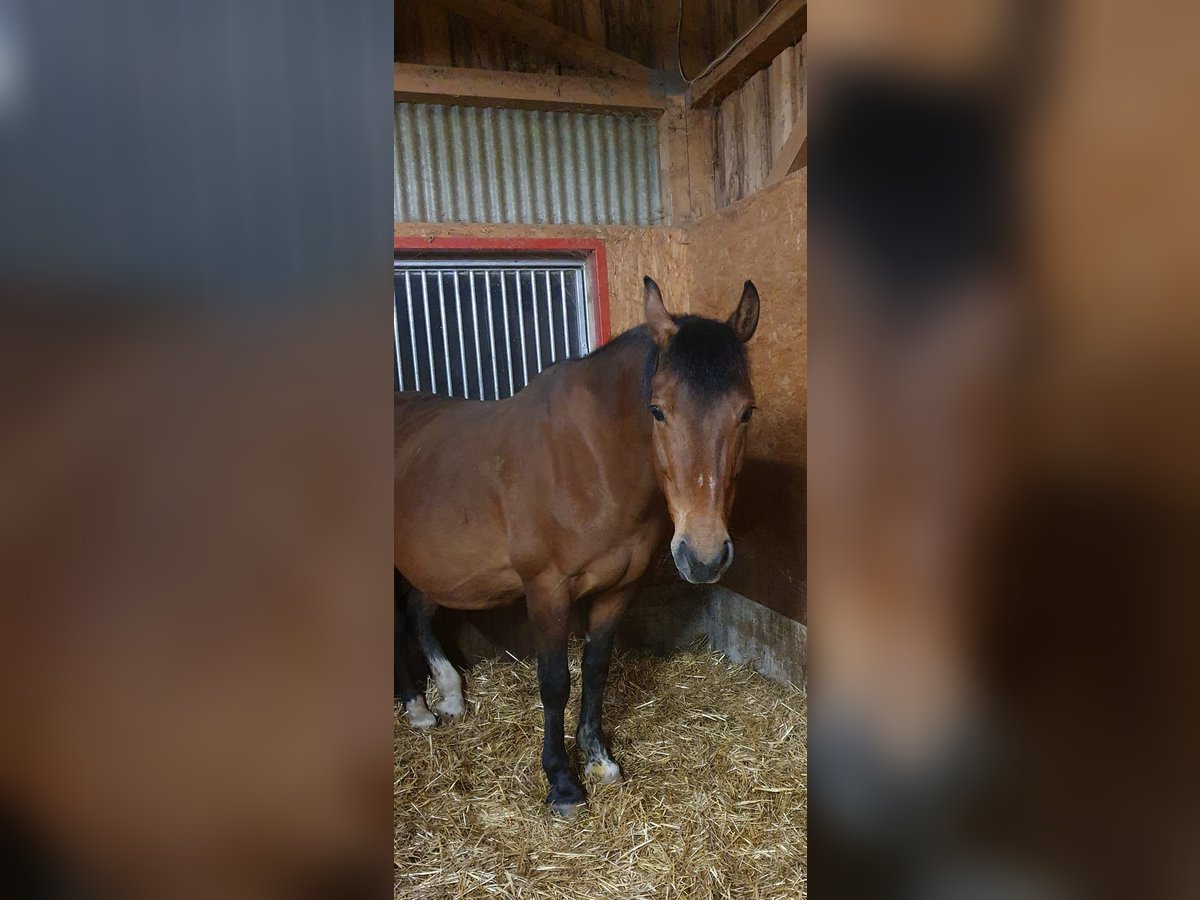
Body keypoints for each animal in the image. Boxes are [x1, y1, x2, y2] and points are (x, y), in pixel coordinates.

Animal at [394, 275, 760, 816]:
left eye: (746, 412)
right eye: (657, 410)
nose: (703, 556)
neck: (592, 461)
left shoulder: (617, 589)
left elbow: (595, 670)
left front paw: (598, 759)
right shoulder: (546, 590)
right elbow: (555, 683)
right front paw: (562, 783)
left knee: (419, 612)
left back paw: (449, 695)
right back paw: (417, 707)